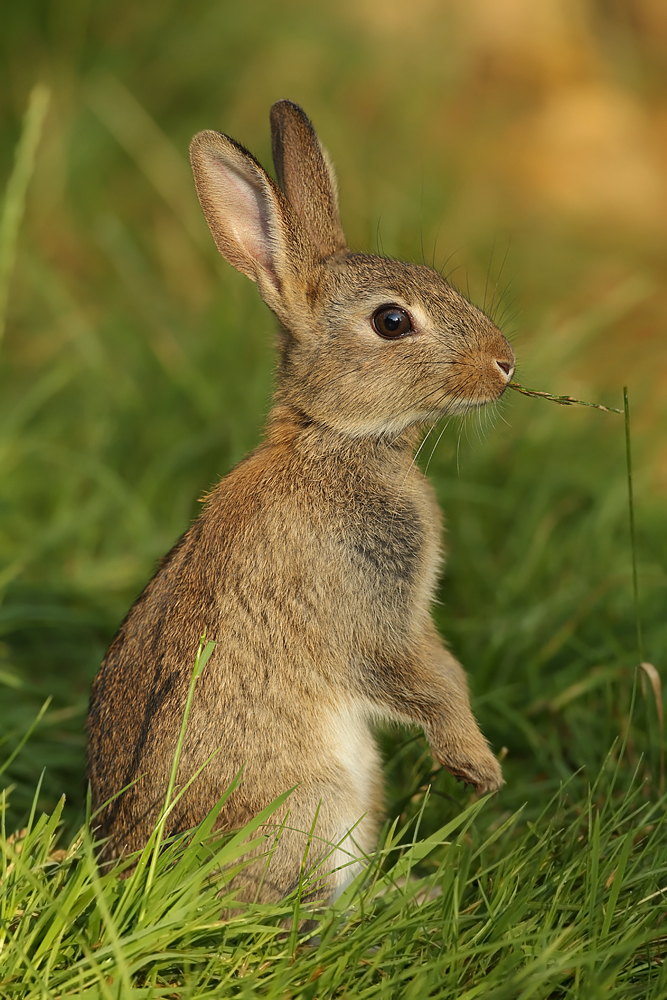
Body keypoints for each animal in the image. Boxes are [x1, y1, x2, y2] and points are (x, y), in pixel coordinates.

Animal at [86, 99, 516, 908]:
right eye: (391, 322)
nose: (505, 364)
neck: (335, 439)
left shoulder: (412, 620)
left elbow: (445, 670)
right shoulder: (367, 613)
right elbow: (417, 685)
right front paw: (478, 767)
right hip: (313, 806)